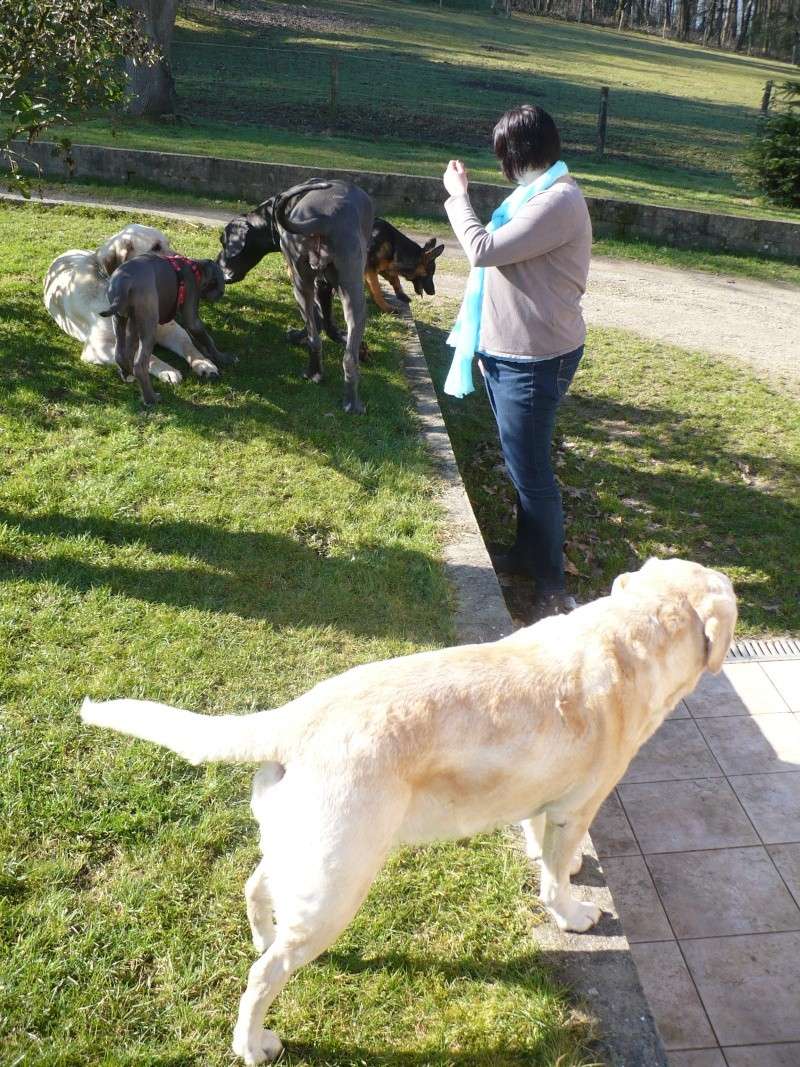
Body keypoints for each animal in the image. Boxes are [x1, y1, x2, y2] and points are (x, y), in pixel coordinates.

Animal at [101, 251, 230, 405]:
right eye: (221, 290)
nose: (219, 297)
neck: (194, 267)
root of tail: (124, 283)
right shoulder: (192, 313)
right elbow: (207, 338)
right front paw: (222, 357)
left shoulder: (133, 323)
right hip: (149, 324)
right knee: (140, 365)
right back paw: (151, 399)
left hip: (121, 320)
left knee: (121, 353)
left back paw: (127, 375)